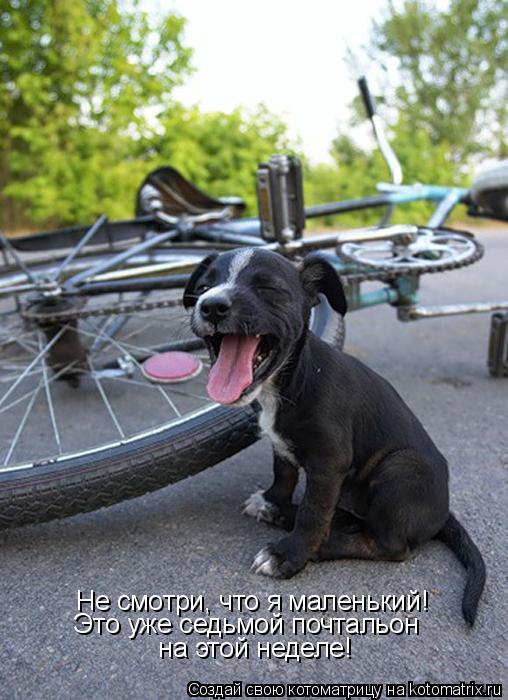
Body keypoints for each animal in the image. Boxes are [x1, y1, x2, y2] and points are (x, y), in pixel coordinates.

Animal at [185, 247, 486, 624]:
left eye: (268, 289)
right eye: (203, 286)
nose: (211, 305)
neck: (290, 378)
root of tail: (442, 512)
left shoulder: (329, 463)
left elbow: (313, 514)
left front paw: (290, 556)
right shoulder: (282, 446)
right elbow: (283, 474)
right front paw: (273, 502)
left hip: (400, 468)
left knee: (388, 545)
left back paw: (320, 544)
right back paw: (283, 516)